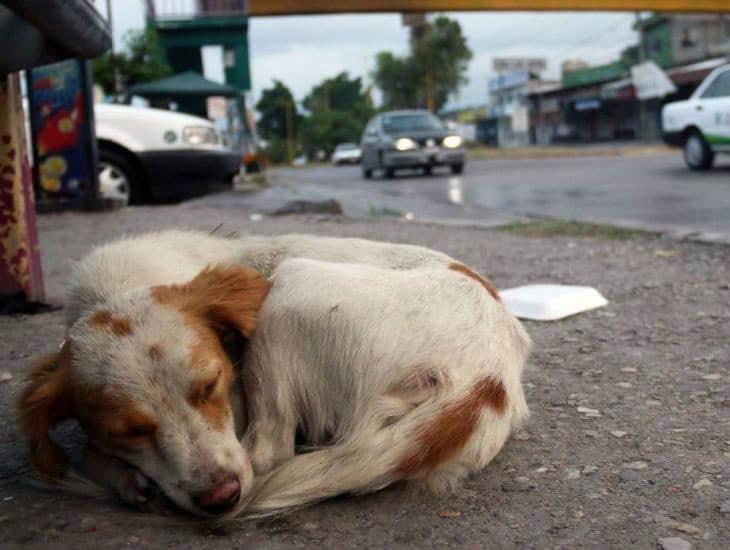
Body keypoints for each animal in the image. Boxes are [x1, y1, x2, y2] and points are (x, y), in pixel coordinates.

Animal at [18, 231, 528, 520]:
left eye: (212, 385)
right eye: (130, 430)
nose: (220, 499)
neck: (115, 288)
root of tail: (487, 376)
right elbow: (89, 449)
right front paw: (122, 475)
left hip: (288, 288)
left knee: (269, 450)